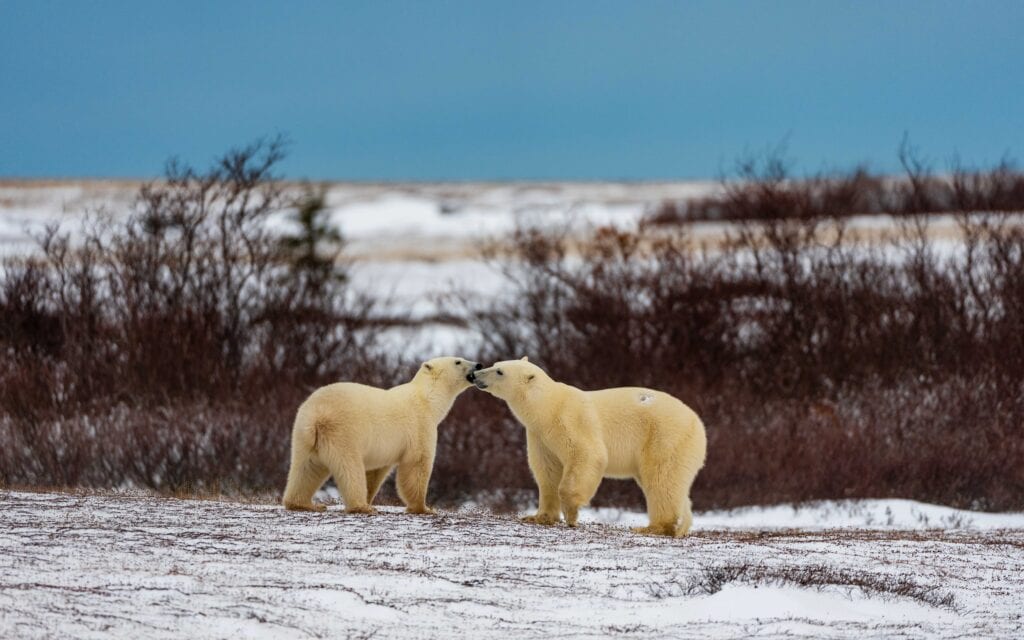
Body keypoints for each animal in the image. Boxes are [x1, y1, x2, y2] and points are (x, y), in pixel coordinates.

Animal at [282, 356, 481, 514]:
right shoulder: (420, 426)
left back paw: (304, 504)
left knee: (306, 468)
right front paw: (423, 508)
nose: (478, 364)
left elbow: (376, 471)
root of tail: (317, 414)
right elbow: (417, 464)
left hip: (303, 434)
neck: (428, 400)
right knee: (350, 468)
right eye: (458, 361)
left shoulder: (385, 448)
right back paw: (362, 507)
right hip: (343, 433)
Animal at [469, 358, 706, 537]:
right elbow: (547, 471)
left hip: (664, 436)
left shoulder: (571, 420)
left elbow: (587, 455)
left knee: (661, 478)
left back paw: (653, 527)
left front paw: (571, 514)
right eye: (495, 364)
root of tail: (698, 424)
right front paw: (538, 517)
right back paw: (680, 527)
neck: (547, 408)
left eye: (499, 371)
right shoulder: (540, 436)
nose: (475, 374)